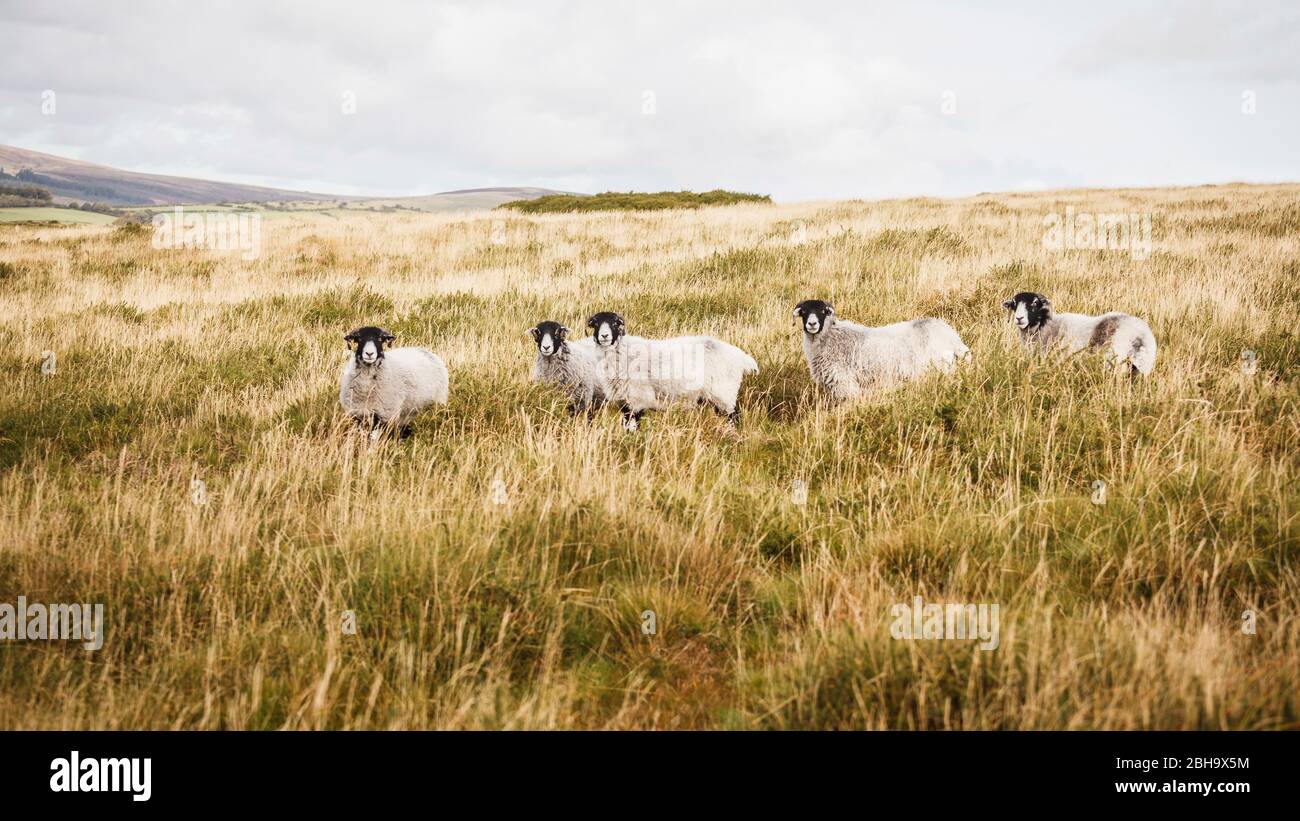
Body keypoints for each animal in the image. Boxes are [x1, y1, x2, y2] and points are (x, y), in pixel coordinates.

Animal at [585, 310, 759, 433]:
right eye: (596, 323)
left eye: (615, 323)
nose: (604, 336)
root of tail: (741, 356)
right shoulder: (625, 402)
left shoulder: (638, 400)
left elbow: (632, 427)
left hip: (724, 393)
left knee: (734, 417)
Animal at [785, 301, 972, 405]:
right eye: (804, 311)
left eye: (823, 311)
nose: (812, 324)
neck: (830, 336)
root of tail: (953, 338)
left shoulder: (846, 384)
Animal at [1003, 292, 1159, 374]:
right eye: (1014, 305)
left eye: (1035, 304)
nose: (1019, 318)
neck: (1045, 327)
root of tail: (1139, 335)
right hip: (1141, 366)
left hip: (1114, 361)